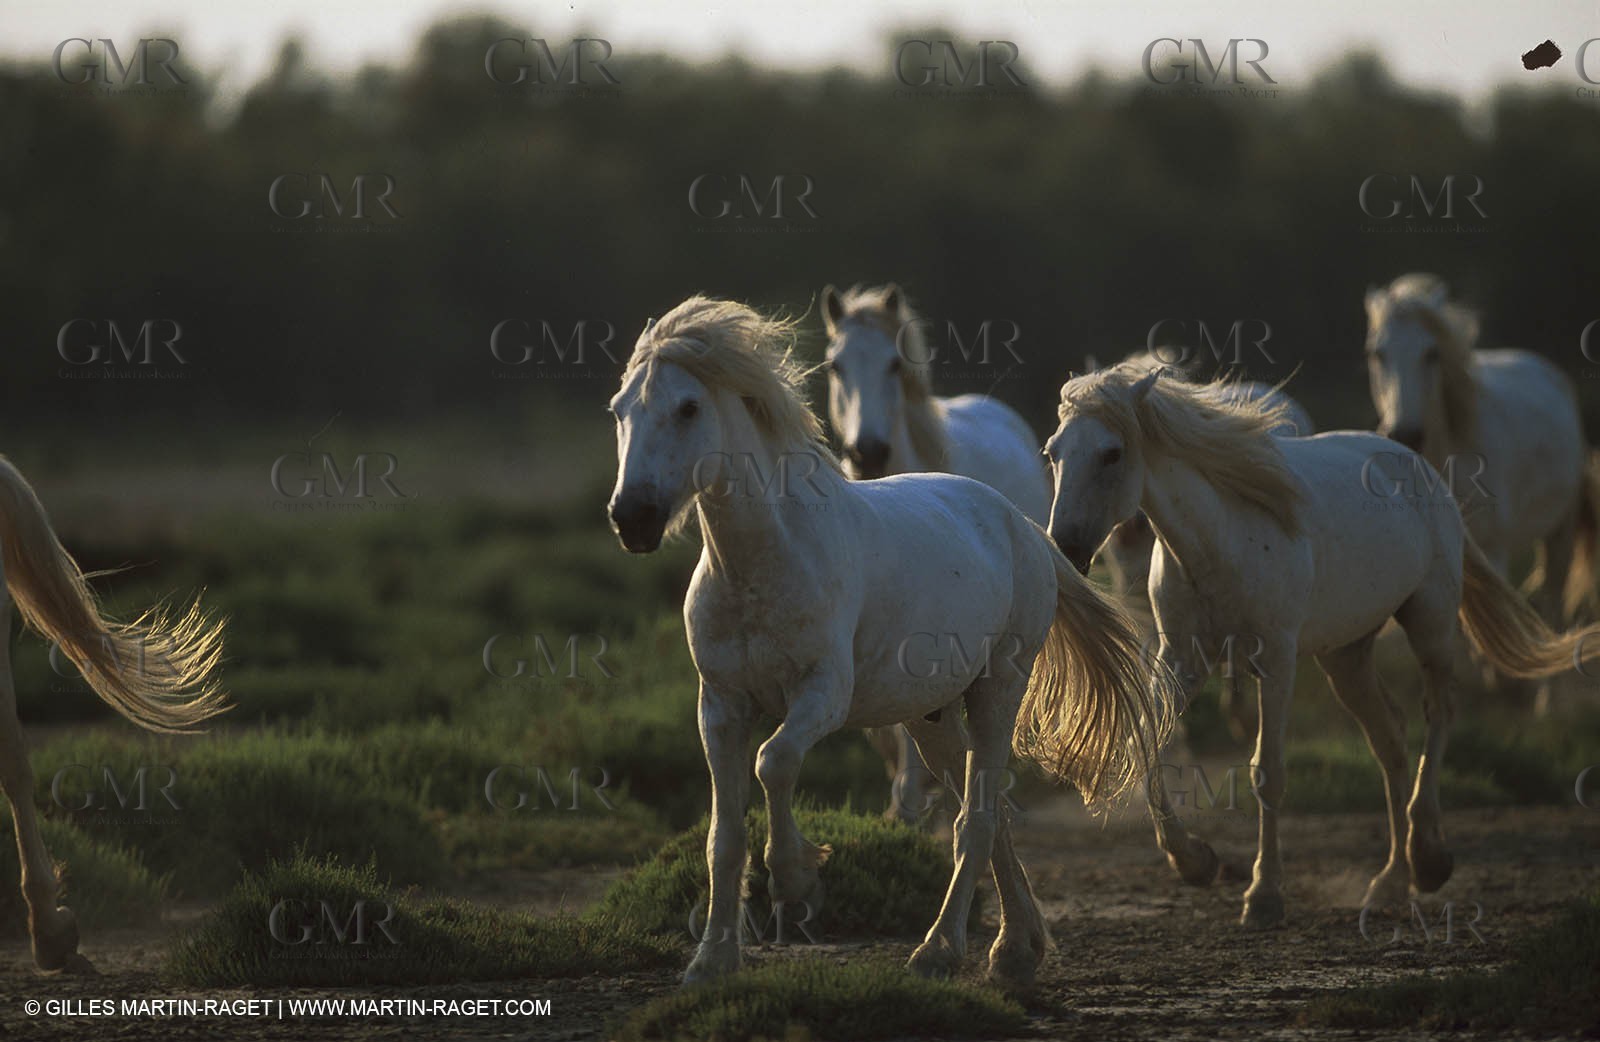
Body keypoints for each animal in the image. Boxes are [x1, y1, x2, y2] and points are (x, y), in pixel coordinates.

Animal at [1043, 358, 1600, 928]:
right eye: (1053, 452)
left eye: (1111, 453)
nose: (1065, 547)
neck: (1219, 539)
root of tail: (1421, 470)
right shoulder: (1182, 658)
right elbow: (1147, 744)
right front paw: (1196, 861)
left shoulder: (1276, 659)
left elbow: (1267, 772)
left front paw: (1264, 895)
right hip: (1345, 657)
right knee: (1390, 739)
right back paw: (1390, 881)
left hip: (1431, 621)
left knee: (1439, 711)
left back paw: (1428, 859)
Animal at [1365, 274, 1600, 642]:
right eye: (1378, 354)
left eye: (1432, 353)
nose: (1406, 434)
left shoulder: (1492, 554)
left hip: (1560, 536)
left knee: (1553, 606)